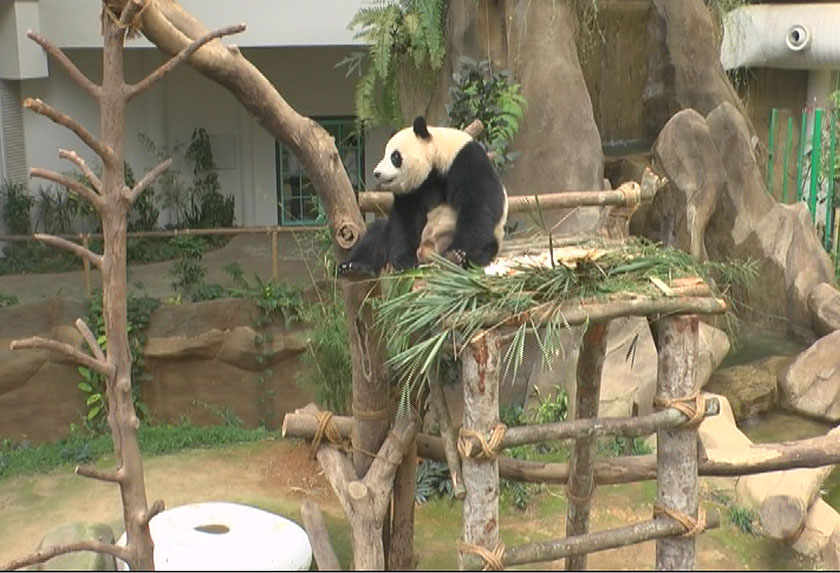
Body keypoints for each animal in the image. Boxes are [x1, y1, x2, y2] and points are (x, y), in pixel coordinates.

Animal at [337, 116, 508, 278]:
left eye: (395, 156)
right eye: (385, 154)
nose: (376, 173)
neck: (437, 155)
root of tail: (427, 254)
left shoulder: (466, 161)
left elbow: (478, 204)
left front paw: (457, 250)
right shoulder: (415, 187)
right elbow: (405, 218)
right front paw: (404, 261)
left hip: (491, 240)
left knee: (483, 250)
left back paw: (454, 258)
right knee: (379, 231)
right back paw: (354, 268)